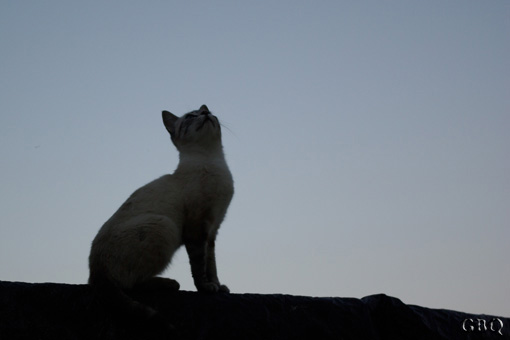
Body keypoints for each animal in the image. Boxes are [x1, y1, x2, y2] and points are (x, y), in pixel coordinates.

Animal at [88, 105, 235, 320]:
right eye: (191, 116)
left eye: (207, 112)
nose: (205, 113)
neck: (212, 159)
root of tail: (95, 273)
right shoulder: (197, 227)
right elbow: (199, 266)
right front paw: (206, 288)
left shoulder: (212, 229)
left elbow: (211, 264)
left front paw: (217, 285)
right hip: (164, 225)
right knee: (129, 284)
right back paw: (170, 283)